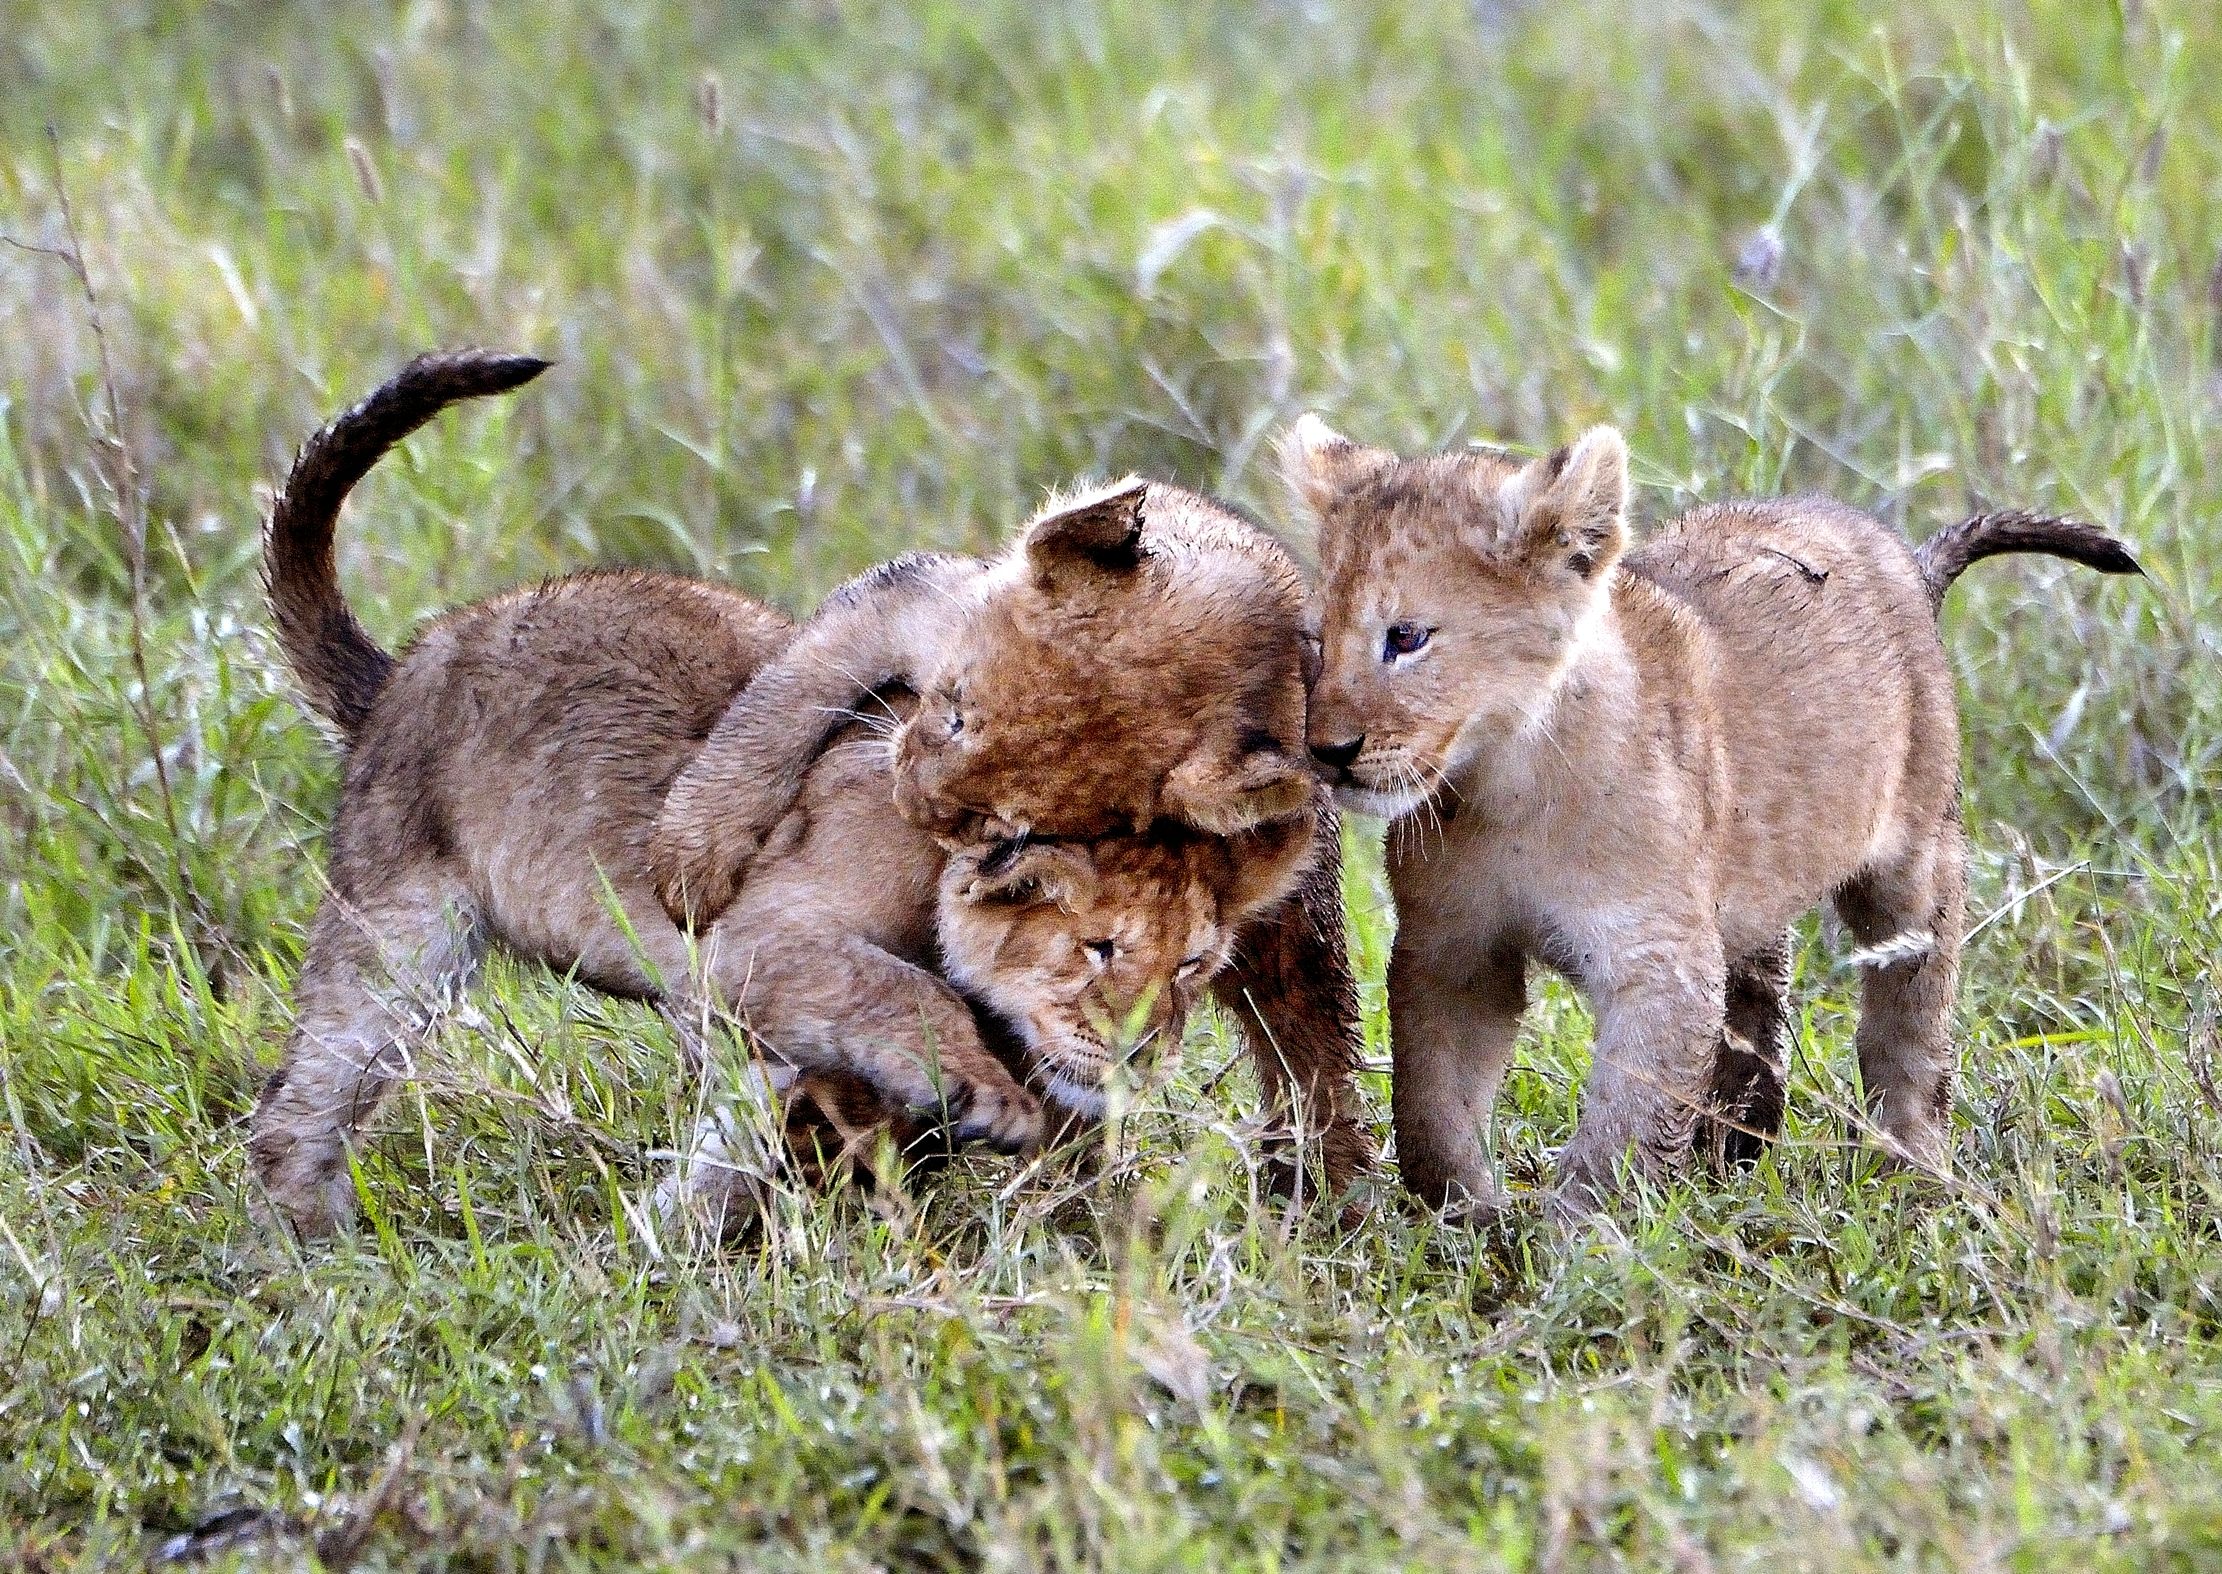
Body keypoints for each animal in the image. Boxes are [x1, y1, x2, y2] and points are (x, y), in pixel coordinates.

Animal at [248, 350, 1298, 1235]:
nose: (1141, 1060)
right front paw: (983, 1095)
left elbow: (749, 1143)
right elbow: (902, 989)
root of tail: (399, 672)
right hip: (395, 928)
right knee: (300, 1103)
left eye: (1193, 968)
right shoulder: (746, 949)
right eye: (1098, 948)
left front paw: (662, 1242)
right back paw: (312, 1250)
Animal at [649, 480, 1379, 1202]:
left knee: (1307, 1039)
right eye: (953, 710)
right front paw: (690, 860)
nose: (907, 799)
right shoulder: (909, 599)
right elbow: (783, 697)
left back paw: (1325, 1188)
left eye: (1011, 822)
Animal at [1282, 414, 2140, 1216]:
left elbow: (1624, 1122)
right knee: (1758, 994)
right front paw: (1463, 1219)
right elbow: (1432, 1103)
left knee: (1909, 1018)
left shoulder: (1657, 959)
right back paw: (1734, 1148)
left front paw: (1578, 1239)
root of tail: (1905, 558)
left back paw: (1910, 1166)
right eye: (1317, 641)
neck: (1506, 783)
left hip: (1915, 859)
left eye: (1406, 638)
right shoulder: (1451, 946)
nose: (1328, 750)